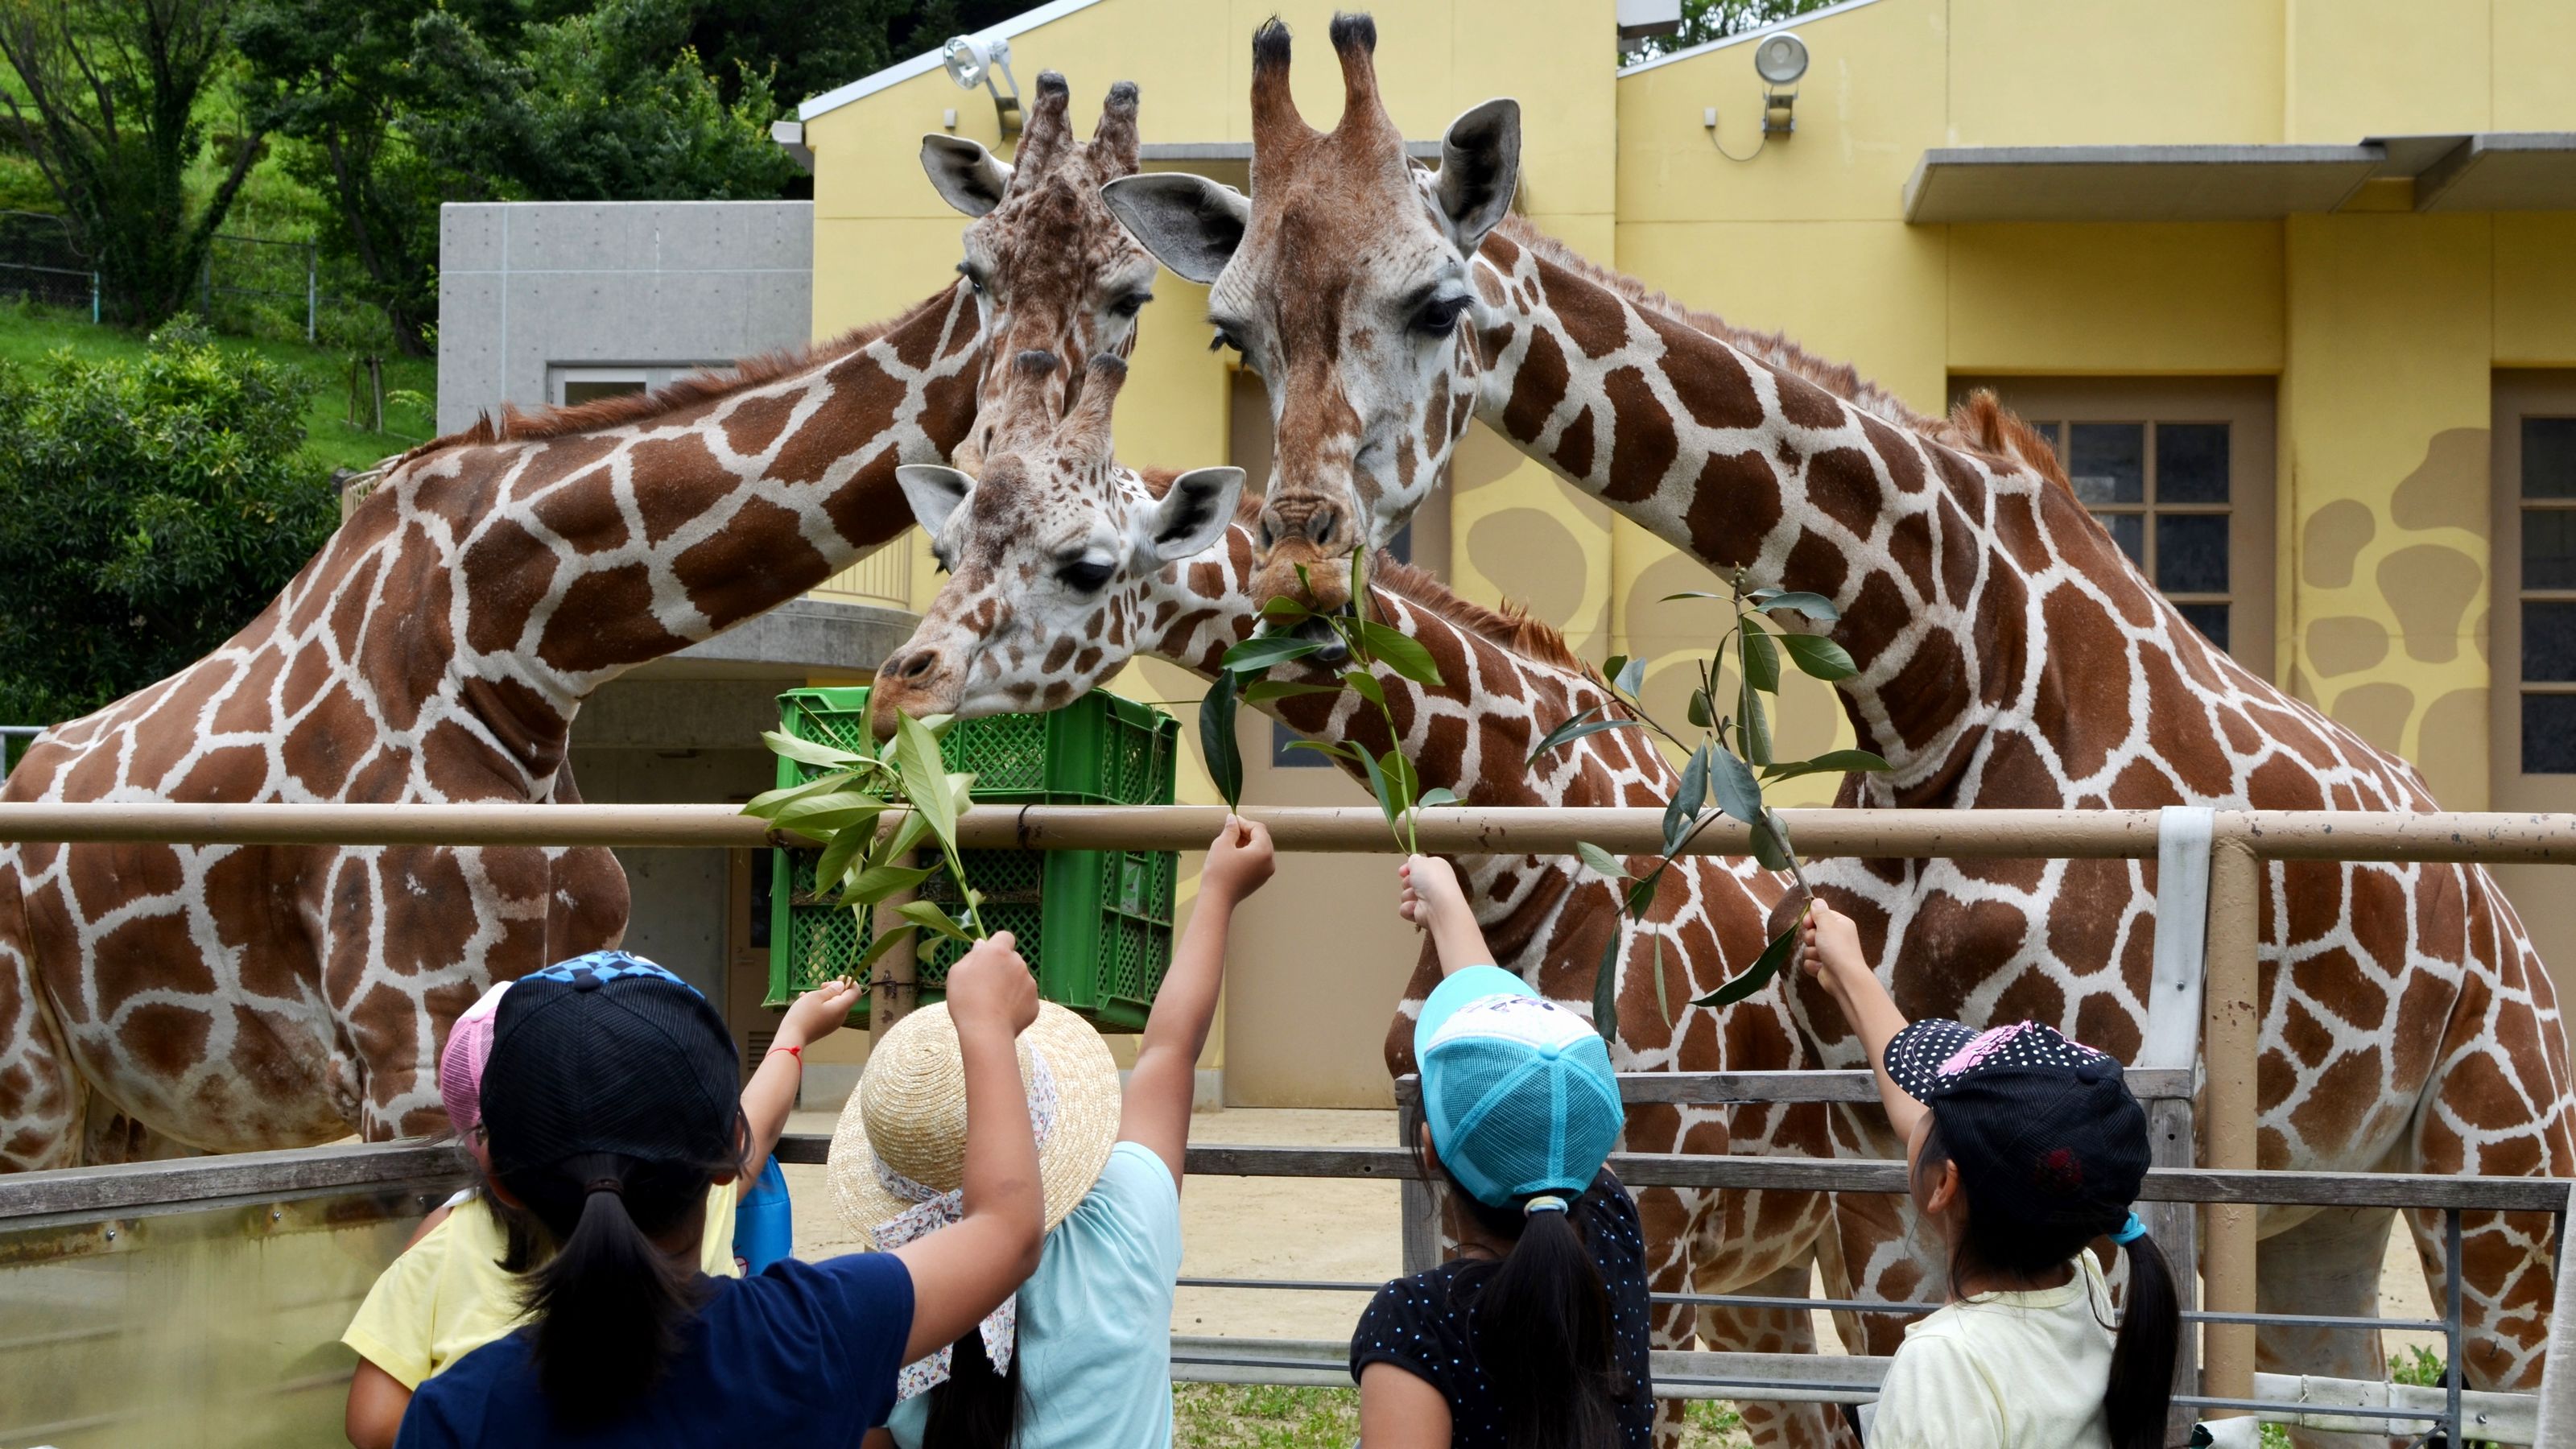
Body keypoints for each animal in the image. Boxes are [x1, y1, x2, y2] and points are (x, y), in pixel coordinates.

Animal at [0, 73, 1159, 1165]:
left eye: (1133, 292)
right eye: (975, 274)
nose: (1011, 462)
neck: (517, 652)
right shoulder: (402, 1042)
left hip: (143, 1106)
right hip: (32, 1088)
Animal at [876, 353, 1864, 1443]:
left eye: (1085, 567)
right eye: (943, 552)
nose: (895, 688)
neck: (1524, 865)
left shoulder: (1659, 1207)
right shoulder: (1455, 1186)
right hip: (1766, 1263)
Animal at [1108, 8, 2576, 1392]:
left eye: (1437, 303)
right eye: (1230, 331)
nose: (1298, 566)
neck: (1939, 673)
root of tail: (2500, 915)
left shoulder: (2100, 1124)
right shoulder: (1888, 1154)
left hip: (2499, 1171)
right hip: (2324, 1203)